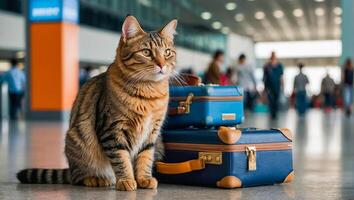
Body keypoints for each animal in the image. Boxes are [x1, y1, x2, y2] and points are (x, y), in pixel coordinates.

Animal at [16, 15, 177, 191]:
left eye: (167, 52)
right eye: (146, 52)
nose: (162, 65)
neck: (149, 93)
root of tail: (70, 168)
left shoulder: (151, 133)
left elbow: (145, 158)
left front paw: (144, 178)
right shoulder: (113, 130)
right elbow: (121, 160)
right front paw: (126, 179)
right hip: (78, 140)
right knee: (78, 177)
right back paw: (96, 179)